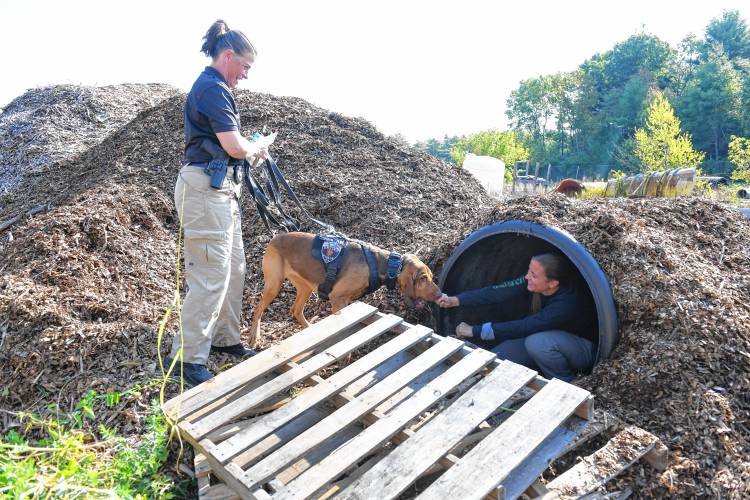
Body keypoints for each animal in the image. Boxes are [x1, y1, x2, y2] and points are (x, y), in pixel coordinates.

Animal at [251, 232, 440, 346]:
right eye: (423, 279)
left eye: (431, 277)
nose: (440, 294)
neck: (382, 264)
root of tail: (274, 238)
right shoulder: (337, 299)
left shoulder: (347, 302)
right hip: (274, 284)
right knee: (258, 310)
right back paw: (254, 338)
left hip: (305, 287)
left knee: (295, 310)